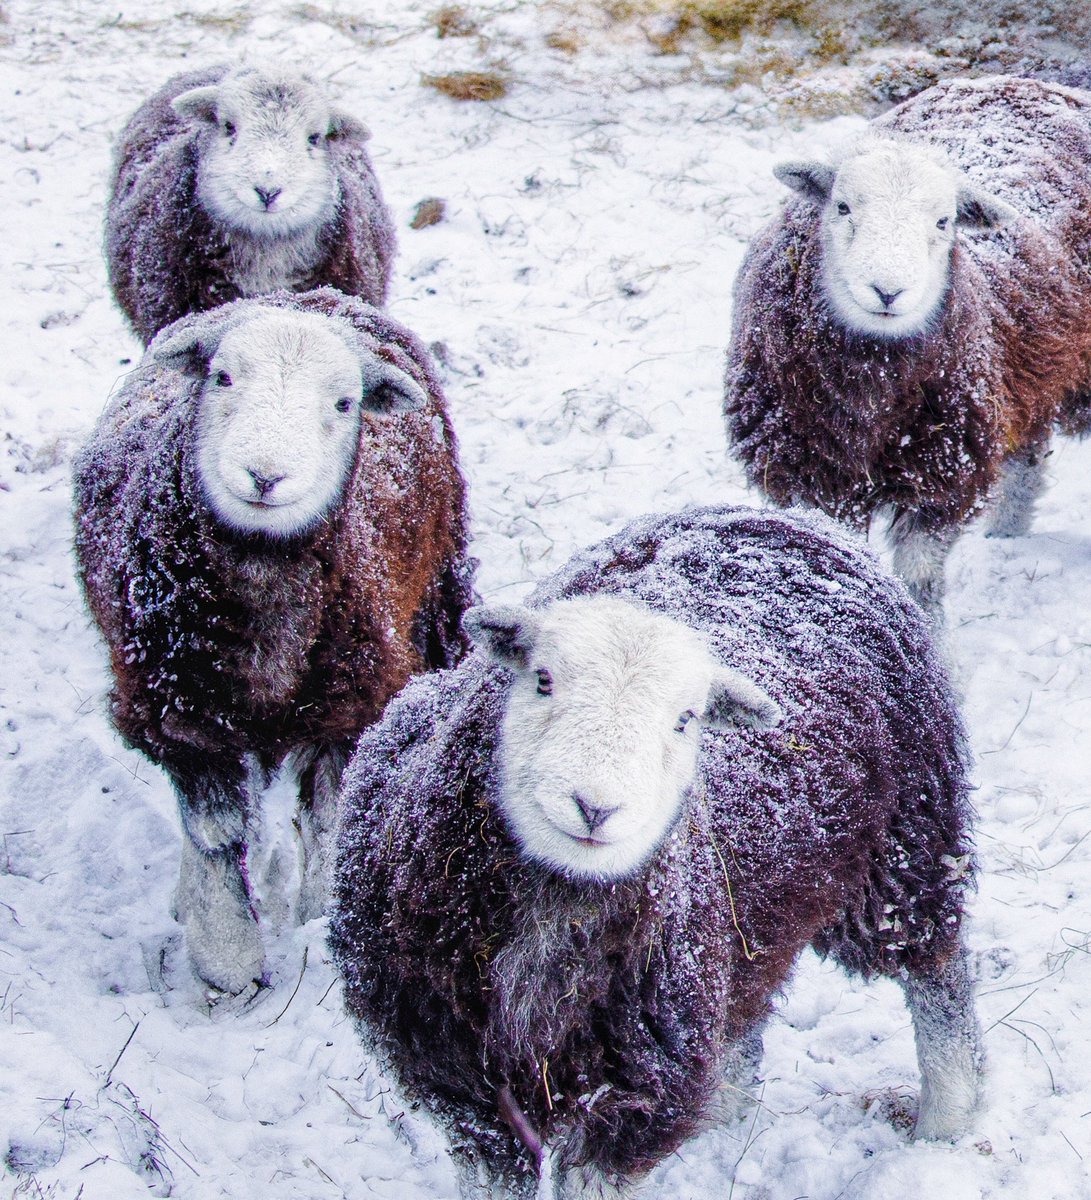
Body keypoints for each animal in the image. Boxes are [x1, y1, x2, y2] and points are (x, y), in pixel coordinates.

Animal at [73, 287, 473, 995]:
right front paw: (226, 960)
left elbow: (330, 819)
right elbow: (214, 835)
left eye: (343, 402)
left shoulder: (351, 703)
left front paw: (318, 921)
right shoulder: (178, 715)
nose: (264, 476)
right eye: (223, 377)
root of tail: (306, 294)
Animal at [329, 504, 980, 1200]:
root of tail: (780, 519)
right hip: (748, 922)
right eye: (542, 679)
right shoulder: (460, 1087)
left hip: (904, 843)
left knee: (935, 972)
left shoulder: (635, 1094)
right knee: (746, 1016)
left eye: (685, 719)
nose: (594, 807)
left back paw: (945, 1127)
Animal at [724, 75, 1091, 620]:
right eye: (842, 206)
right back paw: (1006, 537)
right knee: (1026, 456)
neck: (868, 392)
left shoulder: (941, 467)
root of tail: (1026, 82)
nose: (888, 291)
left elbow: (920, 579)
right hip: (1026, 371)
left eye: (944, 221)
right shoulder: (809, 472)